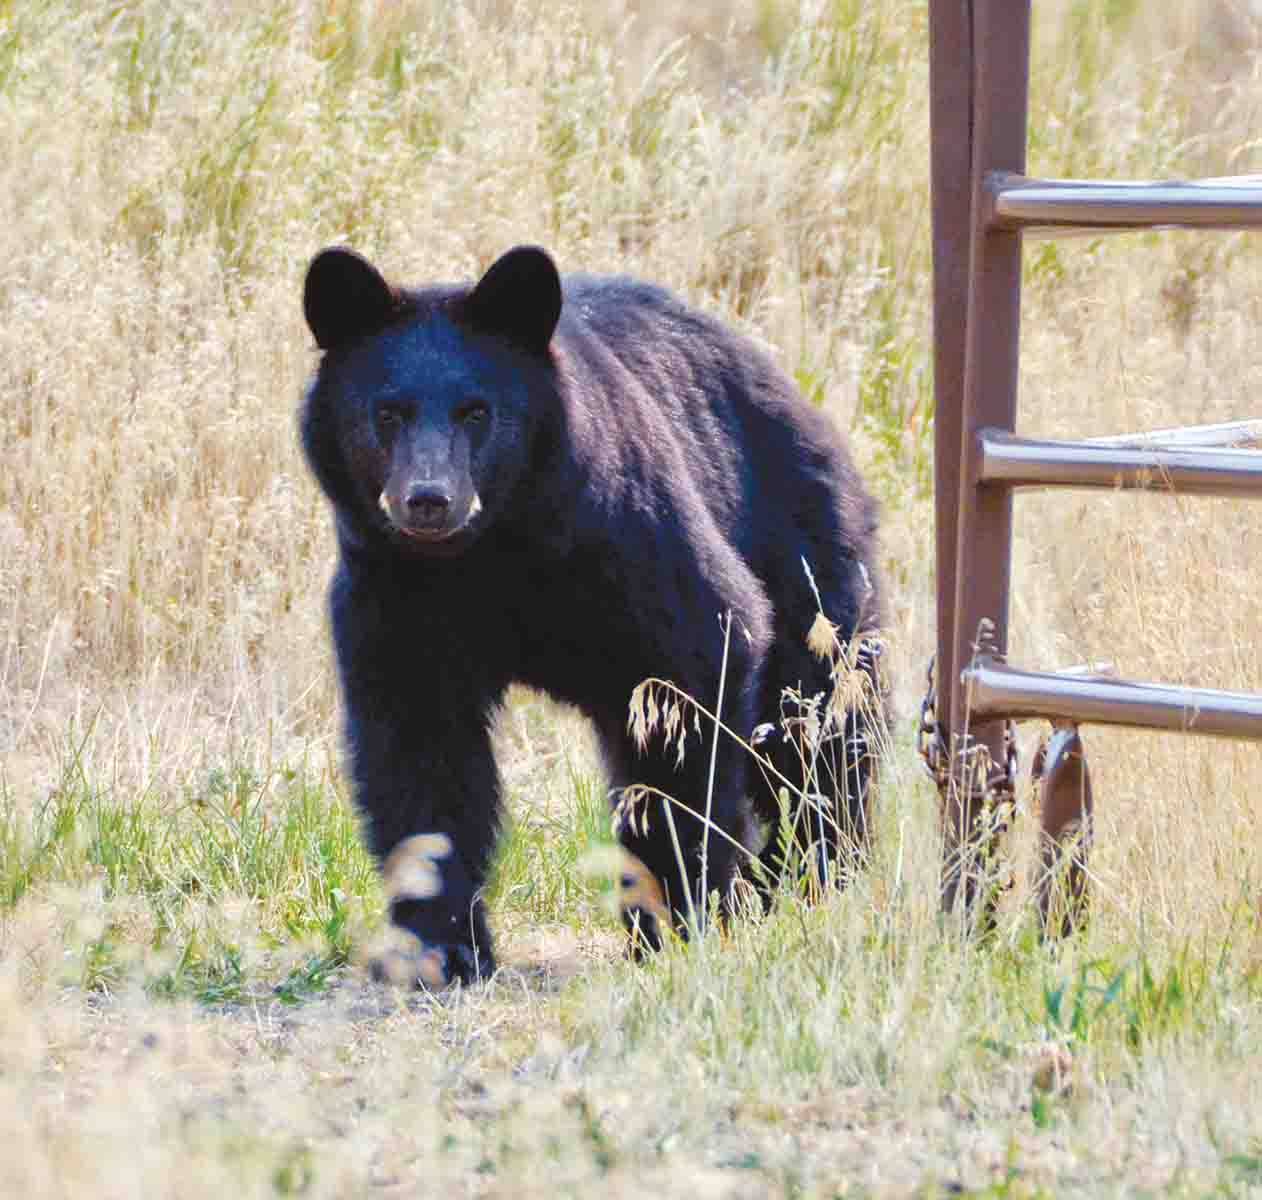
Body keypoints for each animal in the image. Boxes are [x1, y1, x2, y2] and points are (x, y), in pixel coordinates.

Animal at [300, 246, 883, 984]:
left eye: (476, 411)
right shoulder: (394, 594)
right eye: (387, 413)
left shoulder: (628, 544)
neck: (490, 553)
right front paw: (442, 945)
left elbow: (686, 692)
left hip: (805, 552)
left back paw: (810, 875)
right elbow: (421, 754)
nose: (428, 500)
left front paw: (675, 915)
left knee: (821, 727)